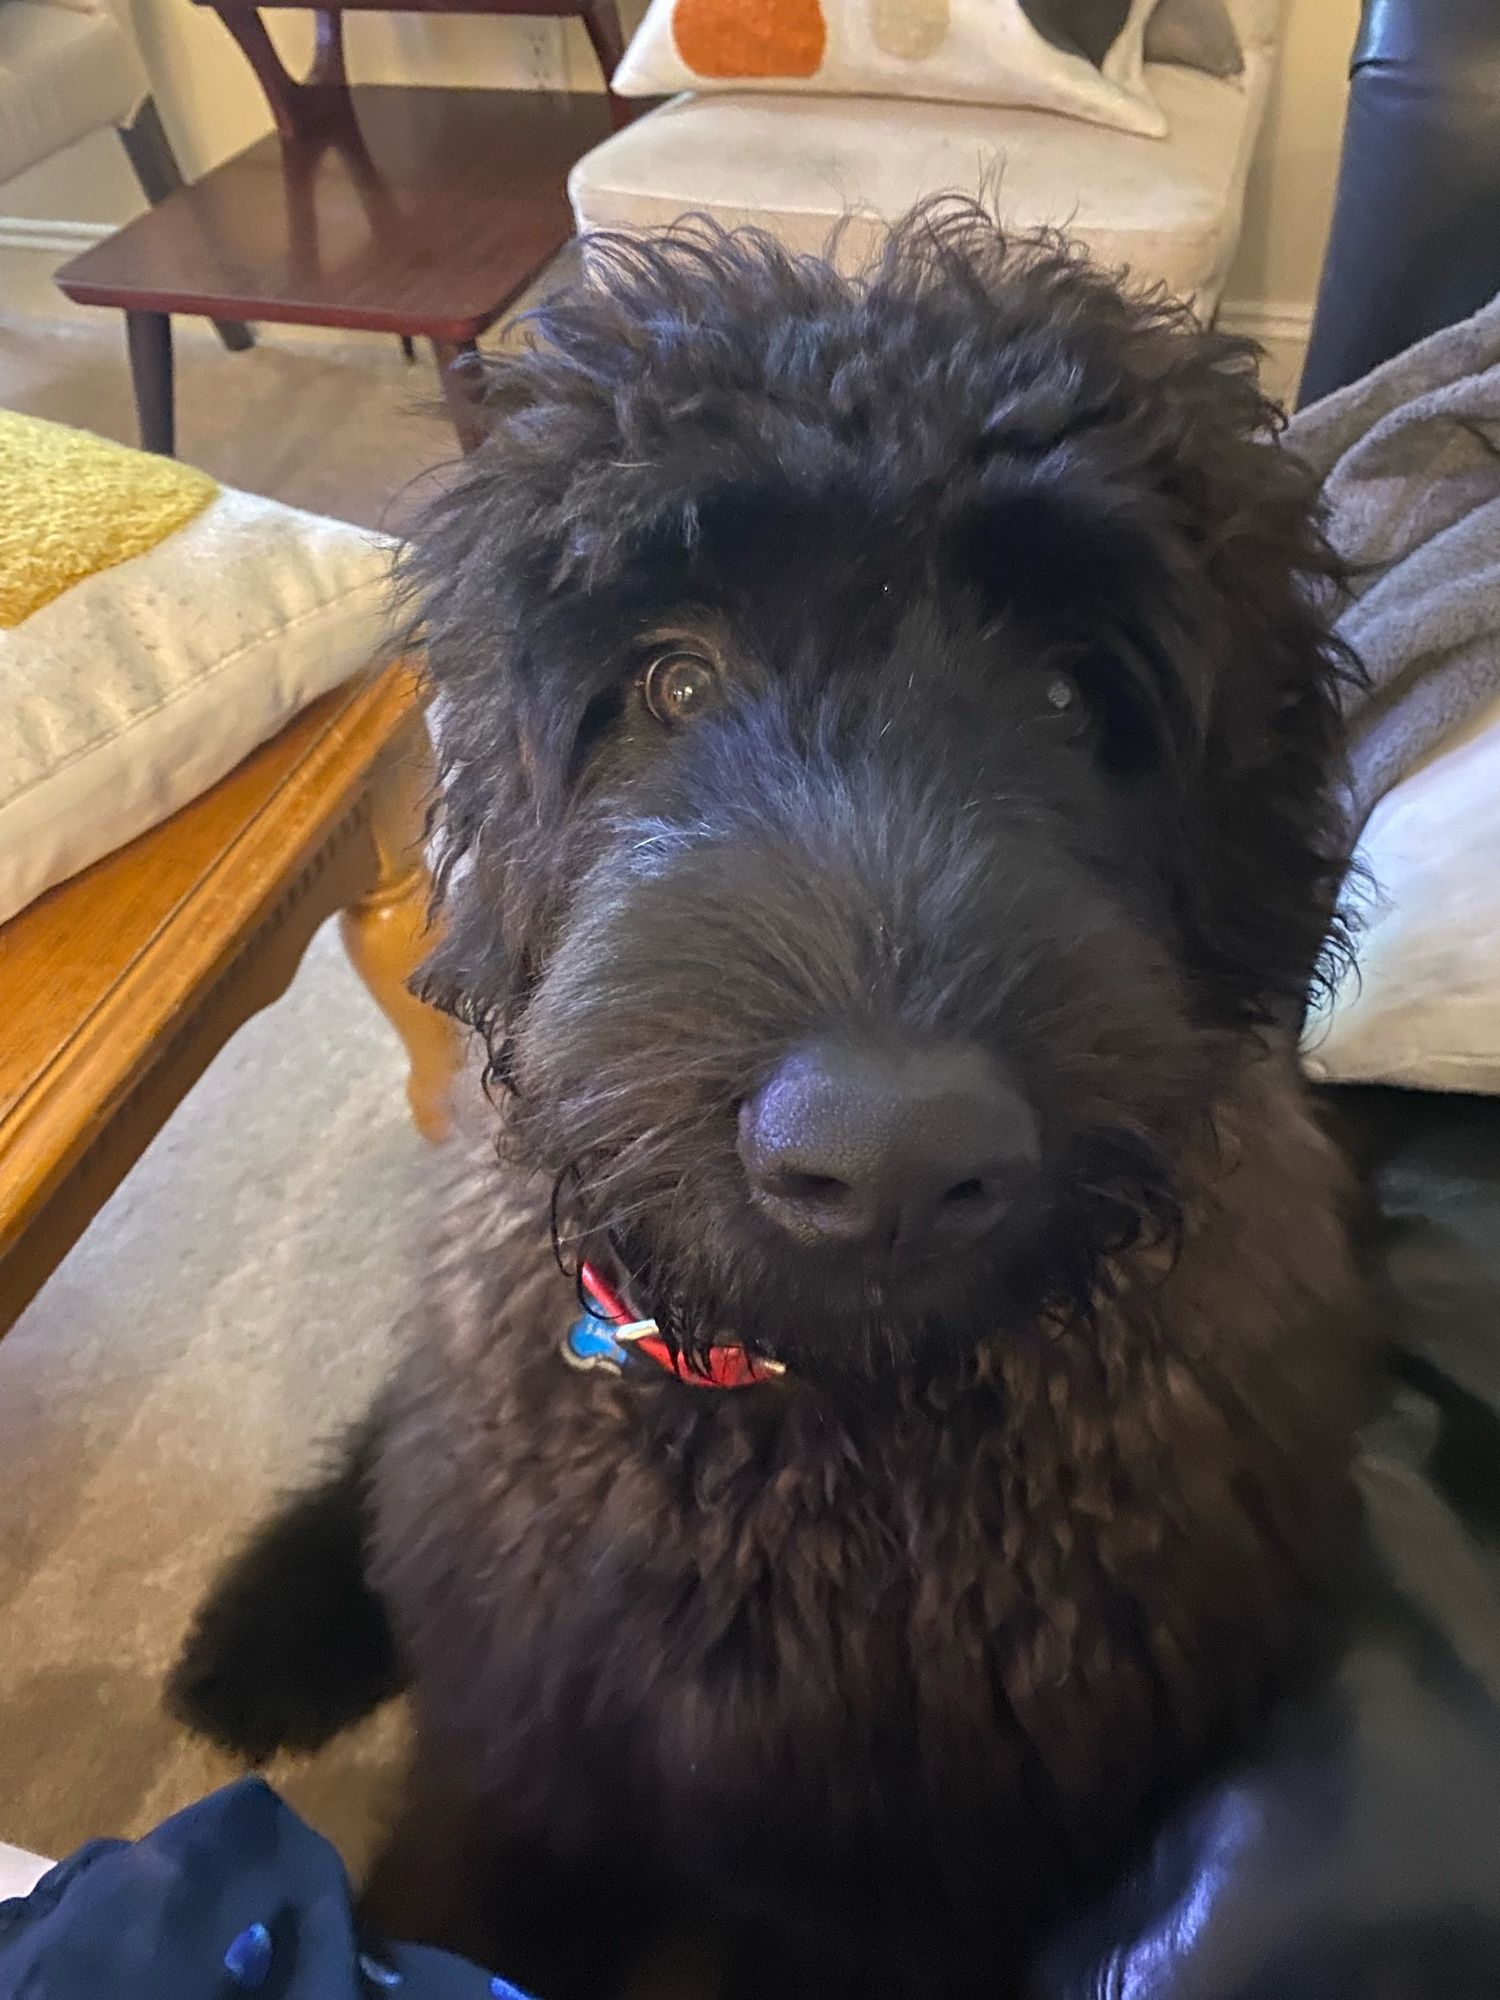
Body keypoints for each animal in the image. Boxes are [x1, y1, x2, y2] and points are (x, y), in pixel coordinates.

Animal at [170, 207, 1384, 2000]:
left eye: (1077, 700)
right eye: (673, 682)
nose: (887, 1159)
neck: (825, 1436)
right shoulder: (513, 1748)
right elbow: (440, 1898)